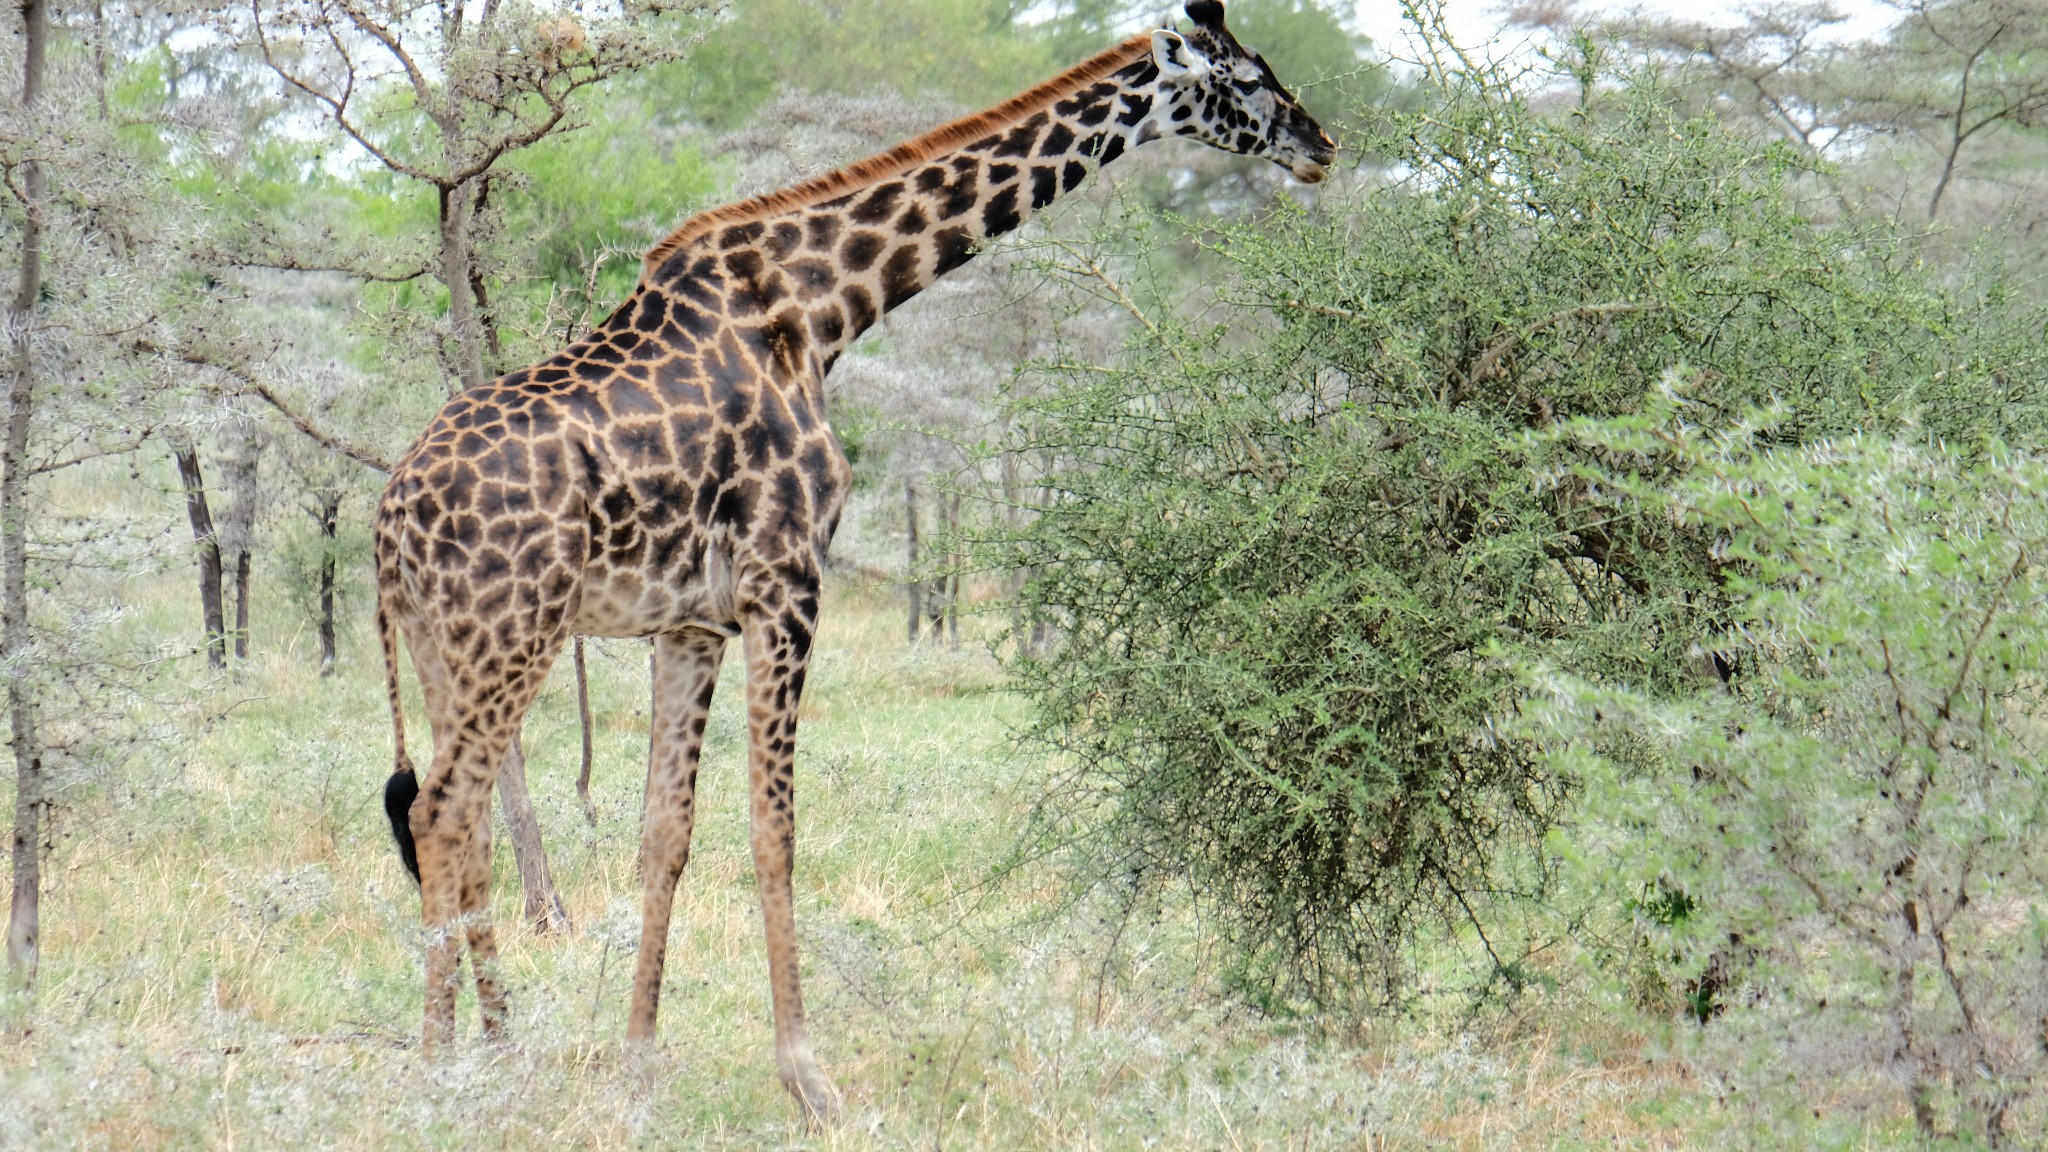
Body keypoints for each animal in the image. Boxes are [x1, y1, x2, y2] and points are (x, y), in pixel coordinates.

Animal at [372, 0, 1327, 1115]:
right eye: (1245, 80)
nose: (1319, 144)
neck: (825, 308)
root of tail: (387, 521)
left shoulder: (692, 620)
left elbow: (666, 835)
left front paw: (639, 1064)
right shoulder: (786, 581)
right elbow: (772, 829)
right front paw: (807, 1077)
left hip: (449, 648)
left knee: (464, 819)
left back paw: (498, 1046)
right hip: (509, 636)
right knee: (443, 812)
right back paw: (444, 1066)